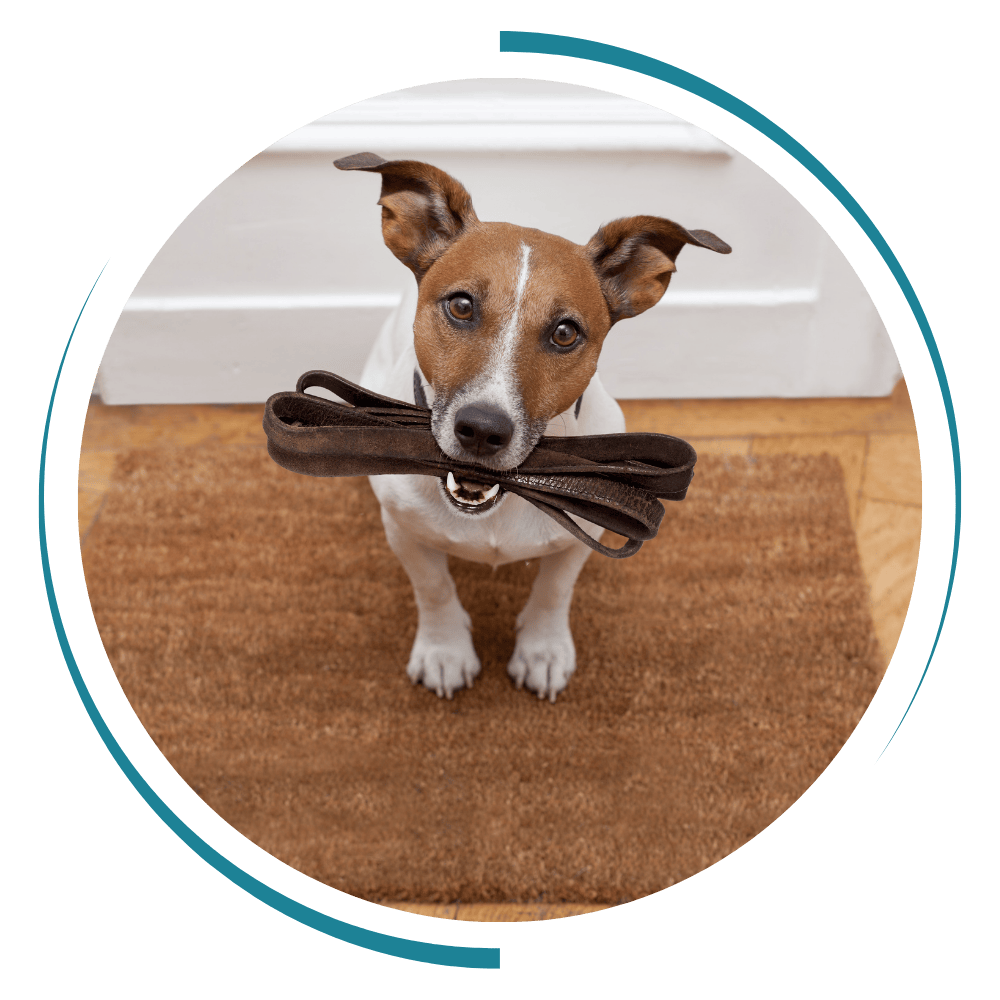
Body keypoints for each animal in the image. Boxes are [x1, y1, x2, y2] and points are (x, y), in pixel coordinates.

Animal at [336, 154, 728, 704]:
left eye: (565, 333)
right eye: (461, 305)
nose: (482, 430)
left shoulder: (581, 535)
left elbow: (554, 591)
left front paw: (542, 650)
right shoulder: (404, 531)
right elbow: (433, 588)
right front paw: (444, 650)